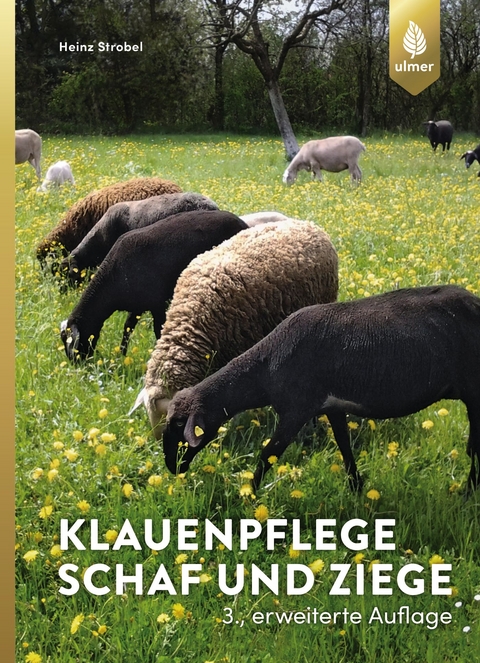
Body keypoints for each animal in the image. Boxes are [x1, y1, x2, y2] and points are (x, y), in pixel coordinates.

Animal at [60, 210, 248, 359]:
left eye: (72, 342)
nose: (79, 365)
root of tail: (241, 222)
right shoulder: (137, 305)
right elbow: (128, 328)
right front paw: (122, 354)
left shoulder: (157, 304)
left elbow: (158, 330)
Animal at [163, 285, 480, 494]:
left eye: (180, 425)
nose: (172, 467)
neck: (264, 369)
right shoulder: (332, 406)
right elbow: (344, 446)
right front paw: (356, 488)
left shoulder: (297, 409)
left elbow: (268, 454)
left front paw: (248, 495)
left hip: (474, 390)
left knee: (475, 447)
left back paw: (468, 493)